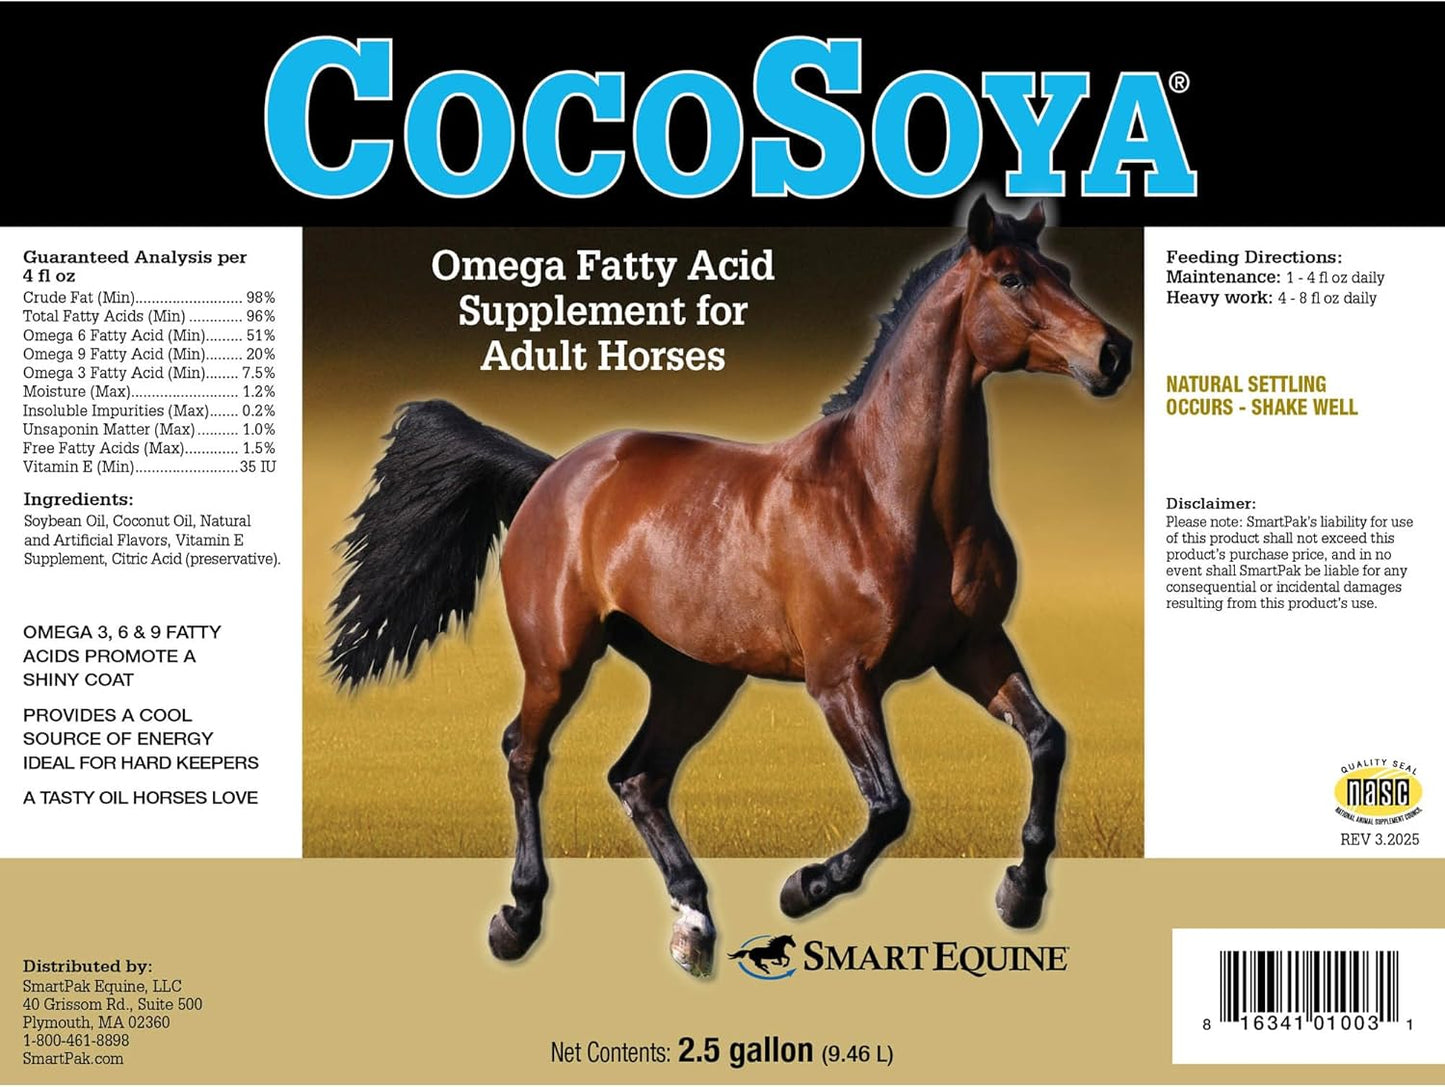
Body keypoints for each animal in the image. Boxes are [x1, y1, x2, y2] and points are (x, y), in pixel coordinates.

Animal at [327, 195, 1132, 978]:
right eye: (1012, 278)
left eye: (1060, 270)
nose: (1112, 354)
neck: (888, 495)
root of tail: (555, 473)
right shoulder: (841, 679)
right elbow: (889, 805)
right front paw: (803, 886)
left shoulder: (974, 650)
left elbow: (1046, 739)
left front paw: (1020, 893)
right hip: (559, 660)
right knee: (525, 753)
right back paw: (518, 920)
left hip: (696, 678)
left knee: (638, 778)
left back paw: (694, 924)